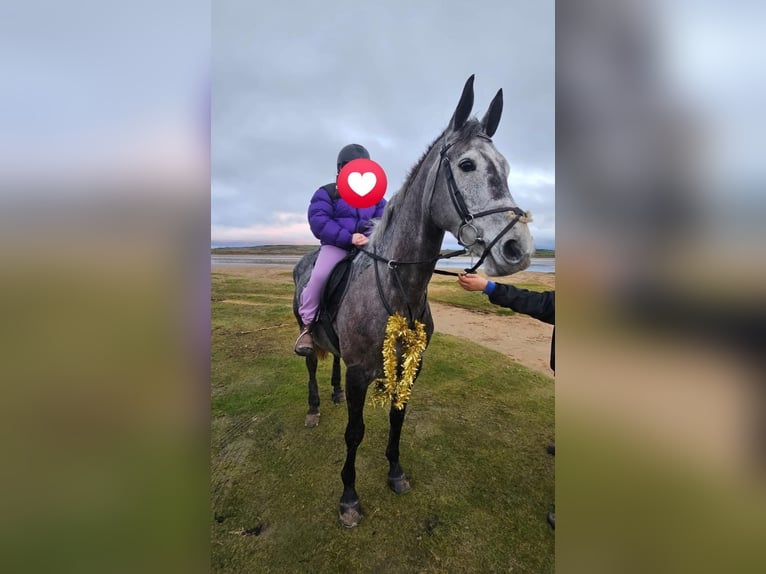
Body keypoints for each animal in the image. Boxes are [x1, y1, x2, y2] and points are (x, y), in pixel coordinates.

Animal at [292, 75, 535, 527]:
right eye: (467, 165)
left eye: (508, 167)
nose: (519, 249)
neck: (398, 286)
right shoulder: (360, 373)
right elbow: (355, 432)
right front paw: (349, 497)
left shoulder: (412, 365)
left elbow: (398, 416)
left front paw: (395, 472)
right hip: (308, 335)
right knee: (312, 363)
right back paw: (316, 407)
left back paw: (332, 395)